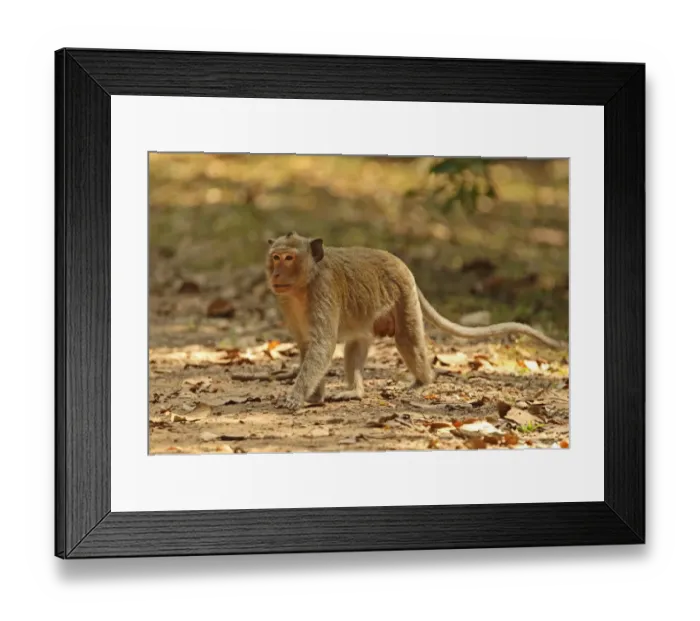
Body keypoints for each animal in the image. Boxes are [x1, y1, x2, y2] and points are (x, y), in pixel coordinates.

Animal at [265, 232, 567, 412]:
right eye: (276, 257)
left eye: (289, 258)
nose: (276, 274)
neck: (305, 284)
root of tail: (402, 264)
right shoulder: (287, 302)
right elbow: (308, 345)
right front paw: (315, 396)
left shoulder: (323, 290)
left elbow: (322, 345)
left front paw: (296, 397)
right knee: (357, 343)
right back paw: (355, 392)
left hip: (403, 298)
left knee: (407, 340)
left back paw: (423, 382)